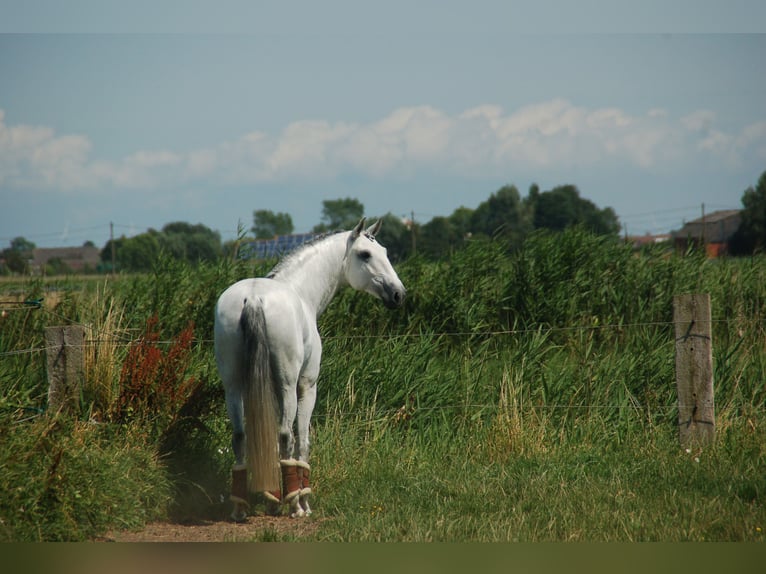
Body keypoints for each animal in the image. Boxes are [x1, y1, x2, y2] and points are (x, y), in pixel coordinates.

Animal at [214, 219, 408, 520]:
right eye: (365, 254)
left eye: (385, 252)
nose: (398, 295)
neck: (301, 291)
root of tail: (254, 299)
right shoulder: (306, 386)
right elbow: (302, 441)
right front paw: (301, 502)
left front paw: (273, 497)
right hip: (287, 385)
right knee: (286, 436)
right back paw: (293, 503)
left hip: (233, 387)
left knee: (240, 437)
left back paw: (241, 508)